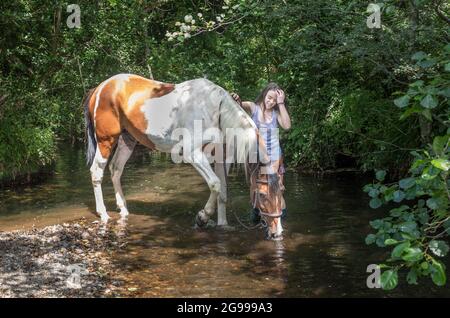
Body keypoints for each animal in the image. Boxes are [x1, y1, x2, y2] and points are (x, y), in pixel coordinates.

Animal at [82, 74, 284, 238]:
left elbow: (223, 191)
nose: (277, 233)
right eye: (263, 196)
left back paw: (123, 209)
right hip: (106, 140)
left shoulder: (221, 157)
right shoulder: (192, 153)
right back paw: (103, 213)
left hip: (128, 139)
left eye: (281, 193)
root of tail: (100, 88)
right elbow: (215, 184)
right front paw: (202, 217)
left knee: (116, 169)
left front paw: (222, 224)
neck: (216, 110)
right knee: (96, 172)